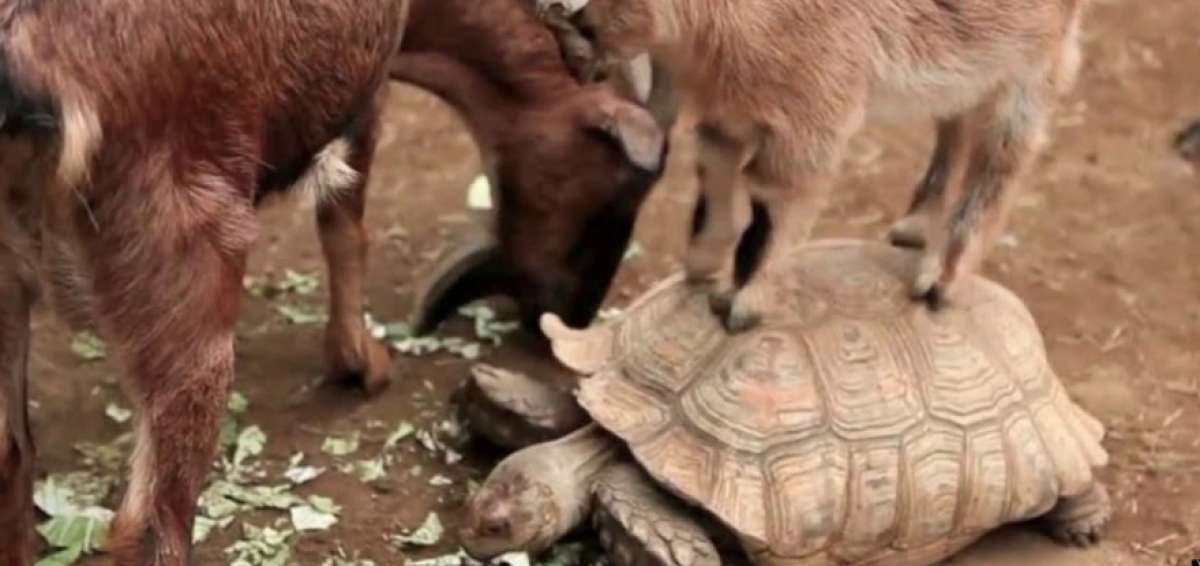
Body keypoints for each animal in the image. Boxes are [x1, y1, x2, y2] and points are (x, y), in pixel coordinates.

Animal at [535, 0, 1087, 330]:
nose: (578, 62)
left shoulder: (811, 113)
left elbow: (773, 202)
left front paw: (741, 304)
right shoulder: (730, 108)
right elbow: (715, 170)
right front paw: (703, 262)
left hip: (1031, 61)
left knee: (1002, 155)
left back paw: (941, 278)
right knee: (955, 119)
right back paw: (915, 226)